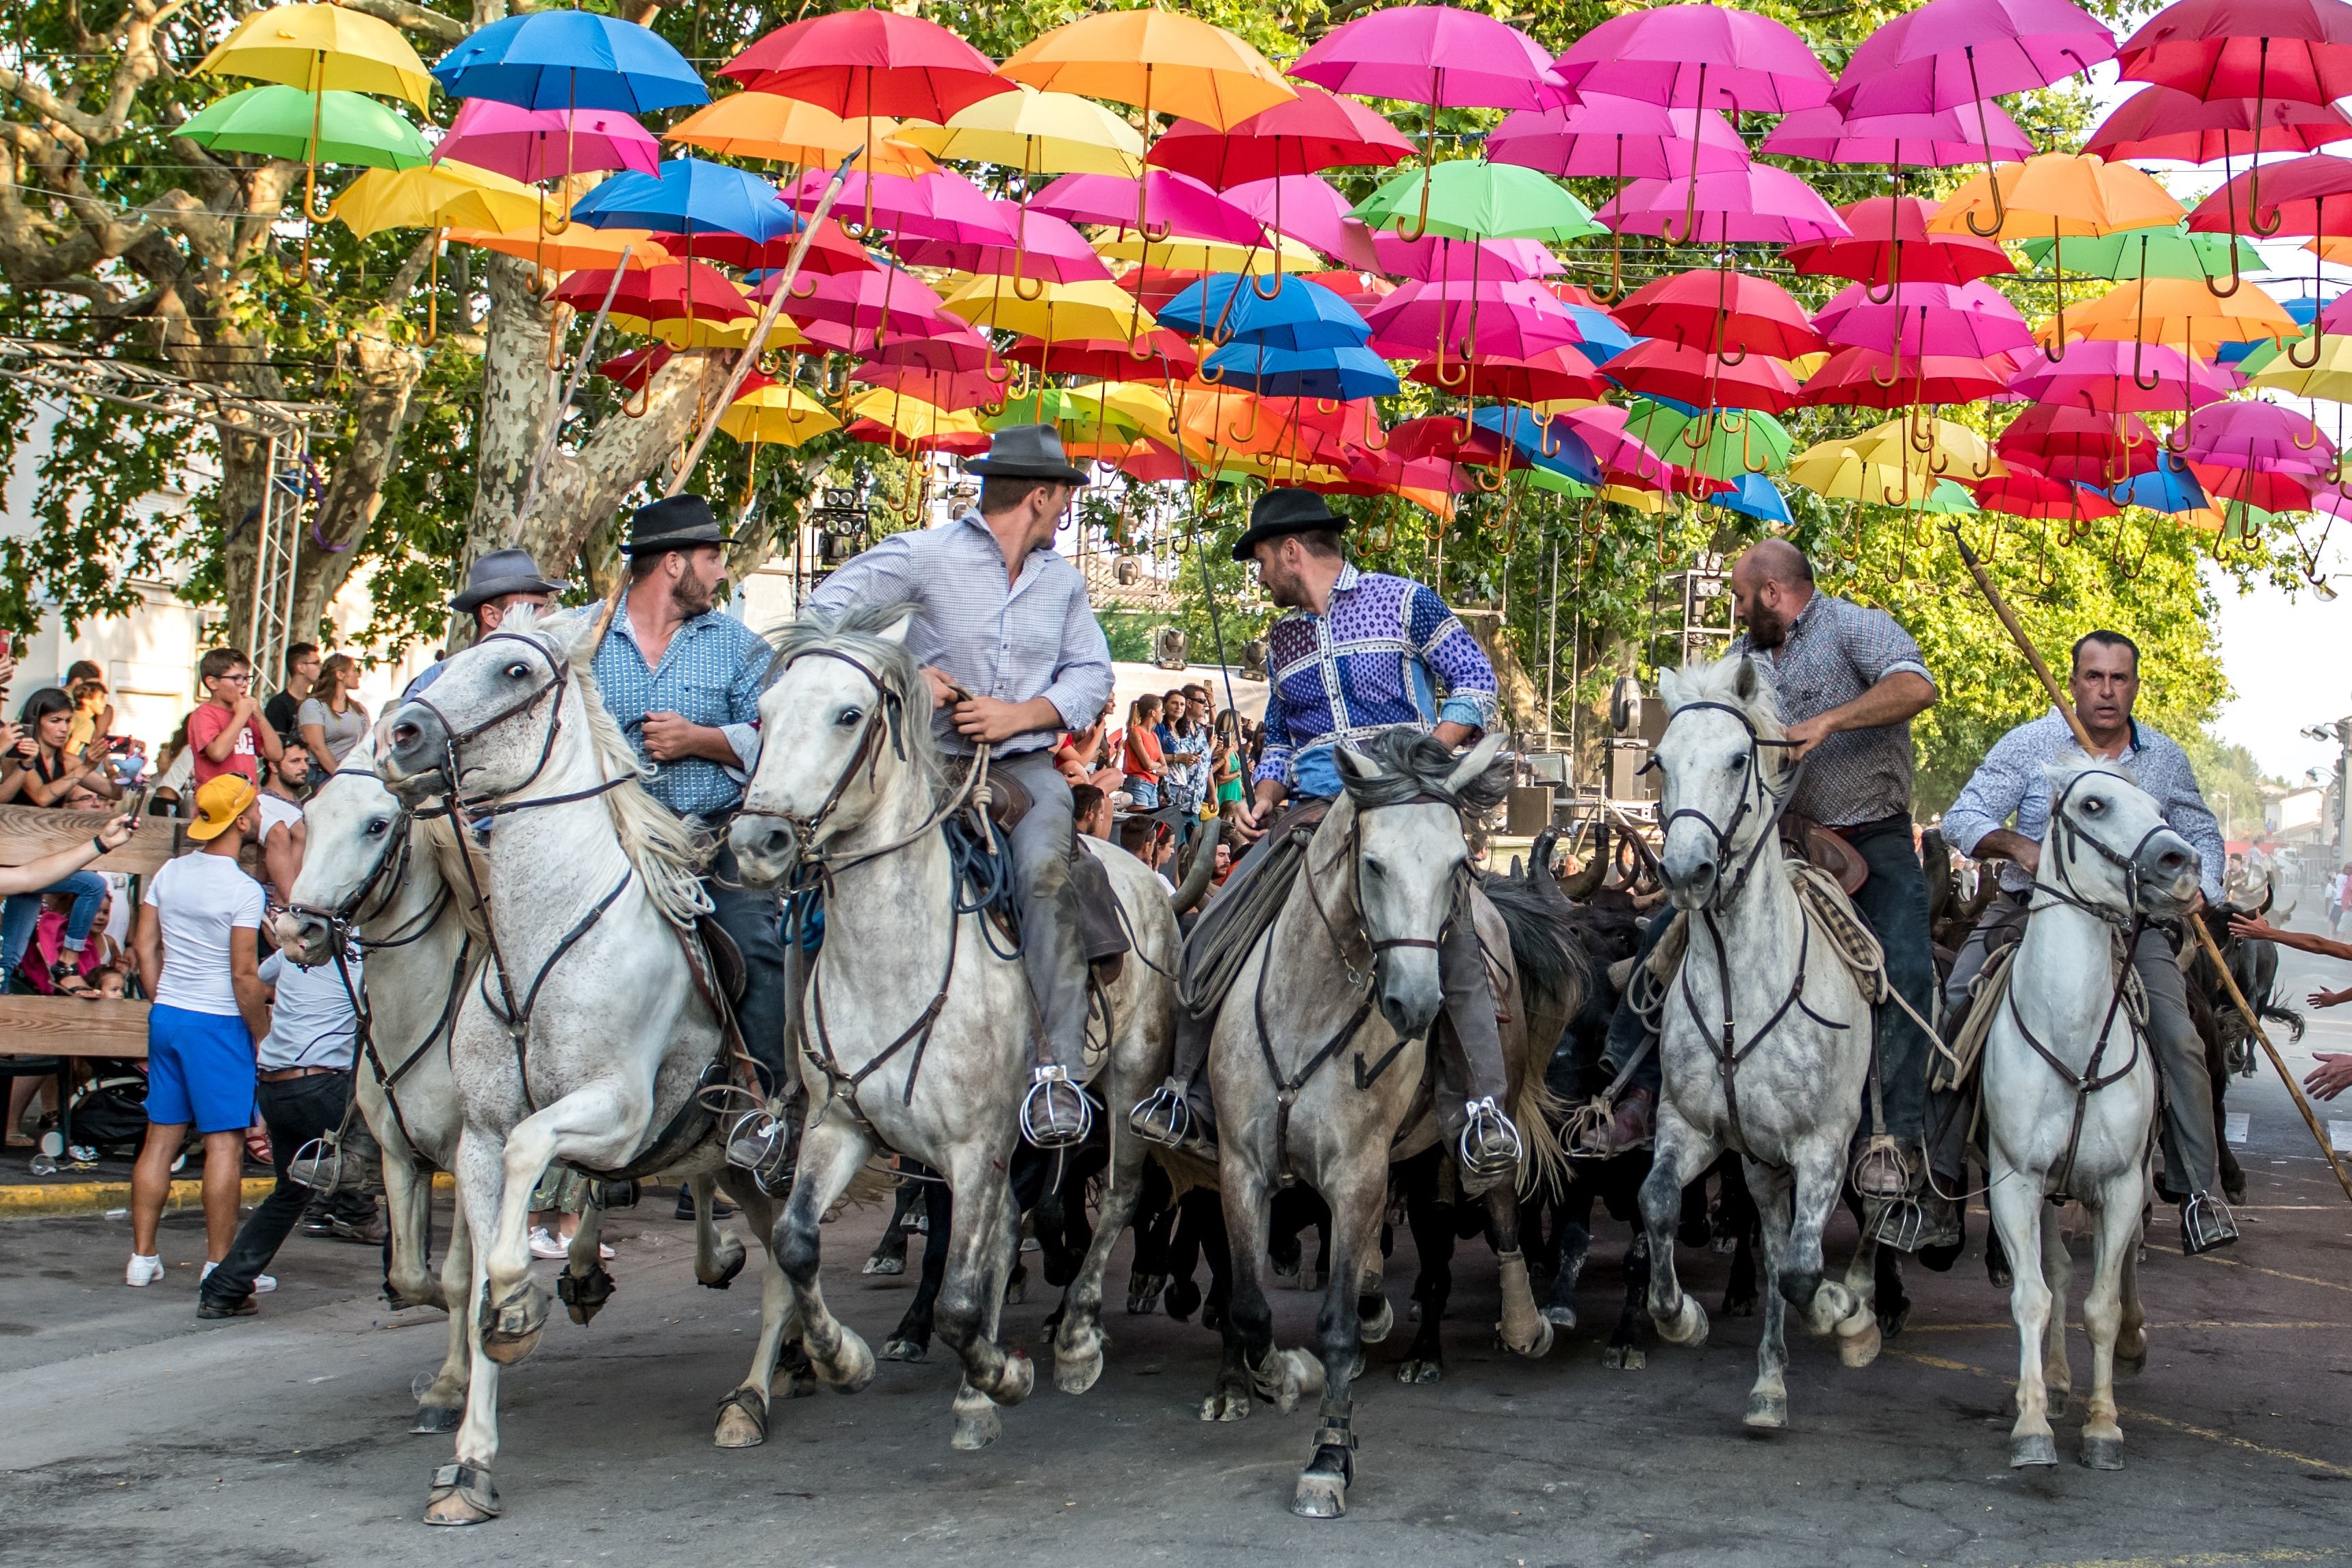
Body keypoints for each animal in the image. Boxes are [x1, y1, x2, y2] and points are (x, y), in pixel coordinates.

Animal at [379, 611, 800, 1523]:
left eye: (511, 669)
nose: (401, 733)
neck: (544, 949)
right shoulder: (476, 1140)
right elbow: (477, 1264)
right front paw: (471, 1462)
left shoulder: (617, 1113)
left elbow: (531, 1161)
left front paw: (518, 1307)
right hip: (731, 1161)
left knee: (787, 1266)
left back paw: (754, 1396)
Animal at [729, 606, 1185, 1457]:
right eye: (763, 715)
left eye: (848, 715)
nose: (757, 843)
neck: (892, 959)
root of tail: (1147, 875)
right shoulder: (842, 1123)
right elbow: (798, 1242)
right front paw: (840, 1357)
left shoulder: (975, 1145)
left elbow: (958, 1303)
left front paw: (1005, 1373)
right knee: (1007, 1226)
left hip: (1130, 1079)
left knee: (1118, 1198)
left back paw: (1076, 1337)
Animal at [1646, 658, 1881, 1429]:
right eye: (1659, 761)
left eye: (1736, 759)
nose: (1685, 871)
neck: (1736, 989)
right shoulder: (1690, 1125)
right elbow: (1658, 1201)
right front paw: (1680, 1315)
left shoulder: (1824, 1143)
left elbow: (1809, 1273)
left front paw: (1844, 1313)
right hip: (1760, 1163)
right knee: (1776, 1247)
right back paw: (1769, 1384)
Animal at [1984, 761, 2201, 1476]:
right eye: (2094, 804)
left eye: (2162, 808)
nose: (2181, 862)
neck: (2075, 1042)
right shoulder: (2016, 1180)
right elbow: (2035, 1293)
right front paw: (2031, 1424)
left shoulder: (2122, 1183)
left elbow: (2100, 1307)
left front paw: (2104, 1427)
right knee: (2055, 1272)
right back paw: (2053, 1383)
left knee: (2125, 1263)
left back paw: (2130, 1341)